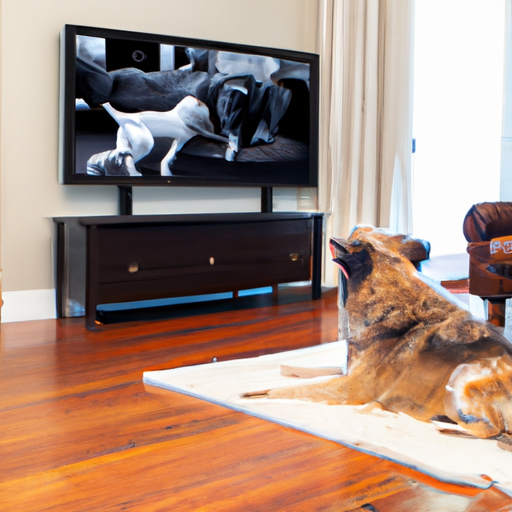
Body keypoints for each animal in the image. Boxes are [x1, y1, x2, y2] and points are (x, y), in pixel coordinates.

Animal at [262, 228, 512, 440]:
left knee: (489, 429)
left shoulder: (352, 385)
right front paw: (283, 370)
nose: (332, 238)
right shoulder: (346, 371)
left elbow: (284, 390)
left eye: (356, 240)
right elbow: (305, 371)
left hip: (461, 376)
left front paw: (259, 394)